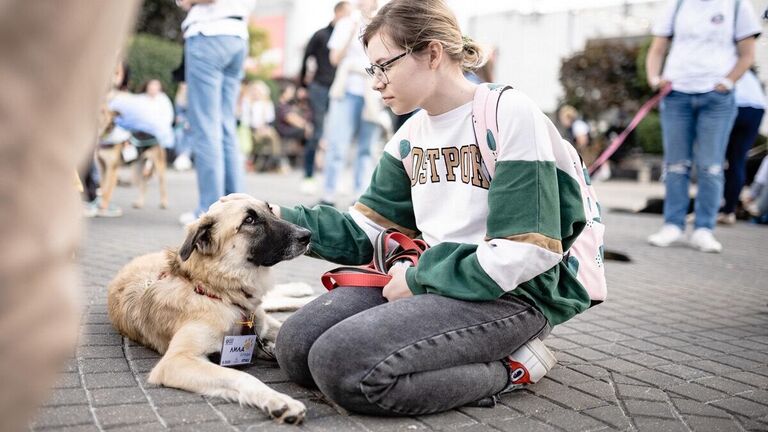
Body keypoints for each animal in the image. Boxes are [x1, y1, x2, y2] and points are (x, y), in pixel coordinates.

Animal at [107, 197, 312, 424]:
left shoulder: (264, 323)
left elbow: (282, 326)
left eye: (270, 209)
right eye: (249, 220)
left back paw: (305, 291)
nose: (307, 235)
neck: (216, 292)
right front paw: (278, 401)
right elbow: (242, 376)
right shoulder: (176, 361)